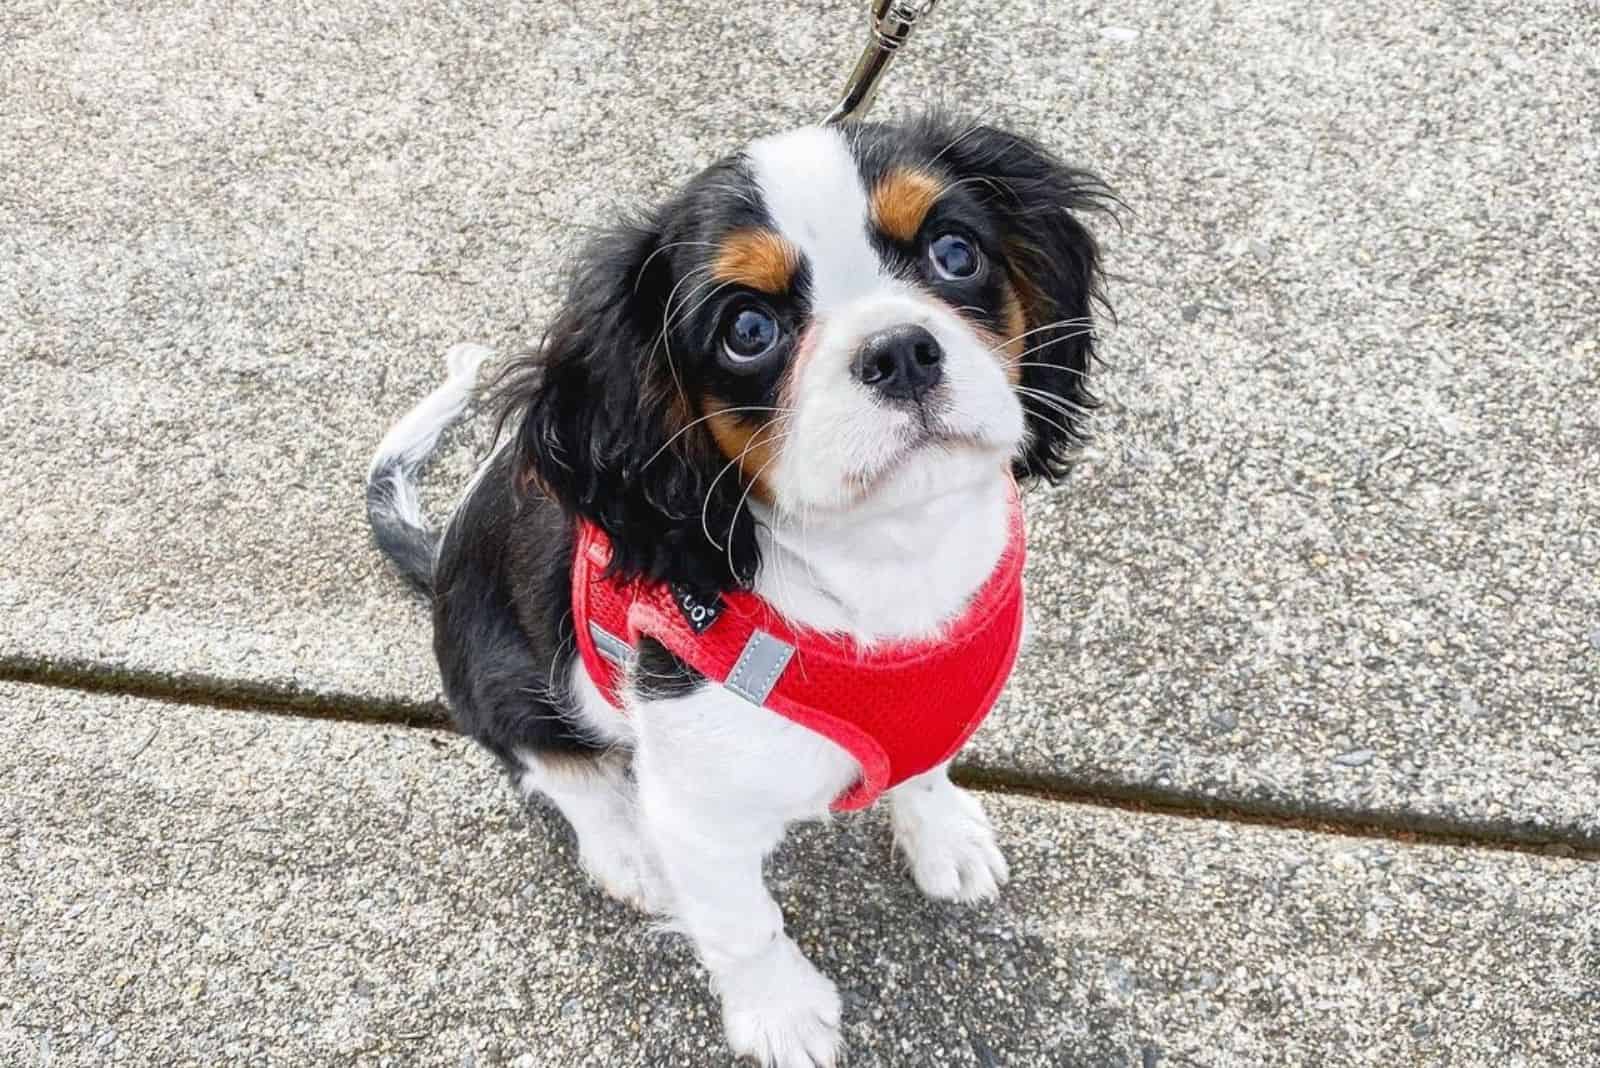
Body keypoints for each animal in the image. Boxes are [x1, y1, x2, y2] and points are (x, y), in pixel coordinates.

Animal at [366, 116, 1107, 1068]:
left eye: (955, 252)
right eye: (748, 328)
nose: (900, 350)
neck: (886, 558)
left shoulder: (939, 708)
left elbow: (925, 770)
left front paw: (943, 835)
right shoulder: (698, 812)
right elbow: (742, 922)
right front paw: (781, 1013)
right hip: (499, 676)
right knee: (546, 761)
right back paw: (623, 845)